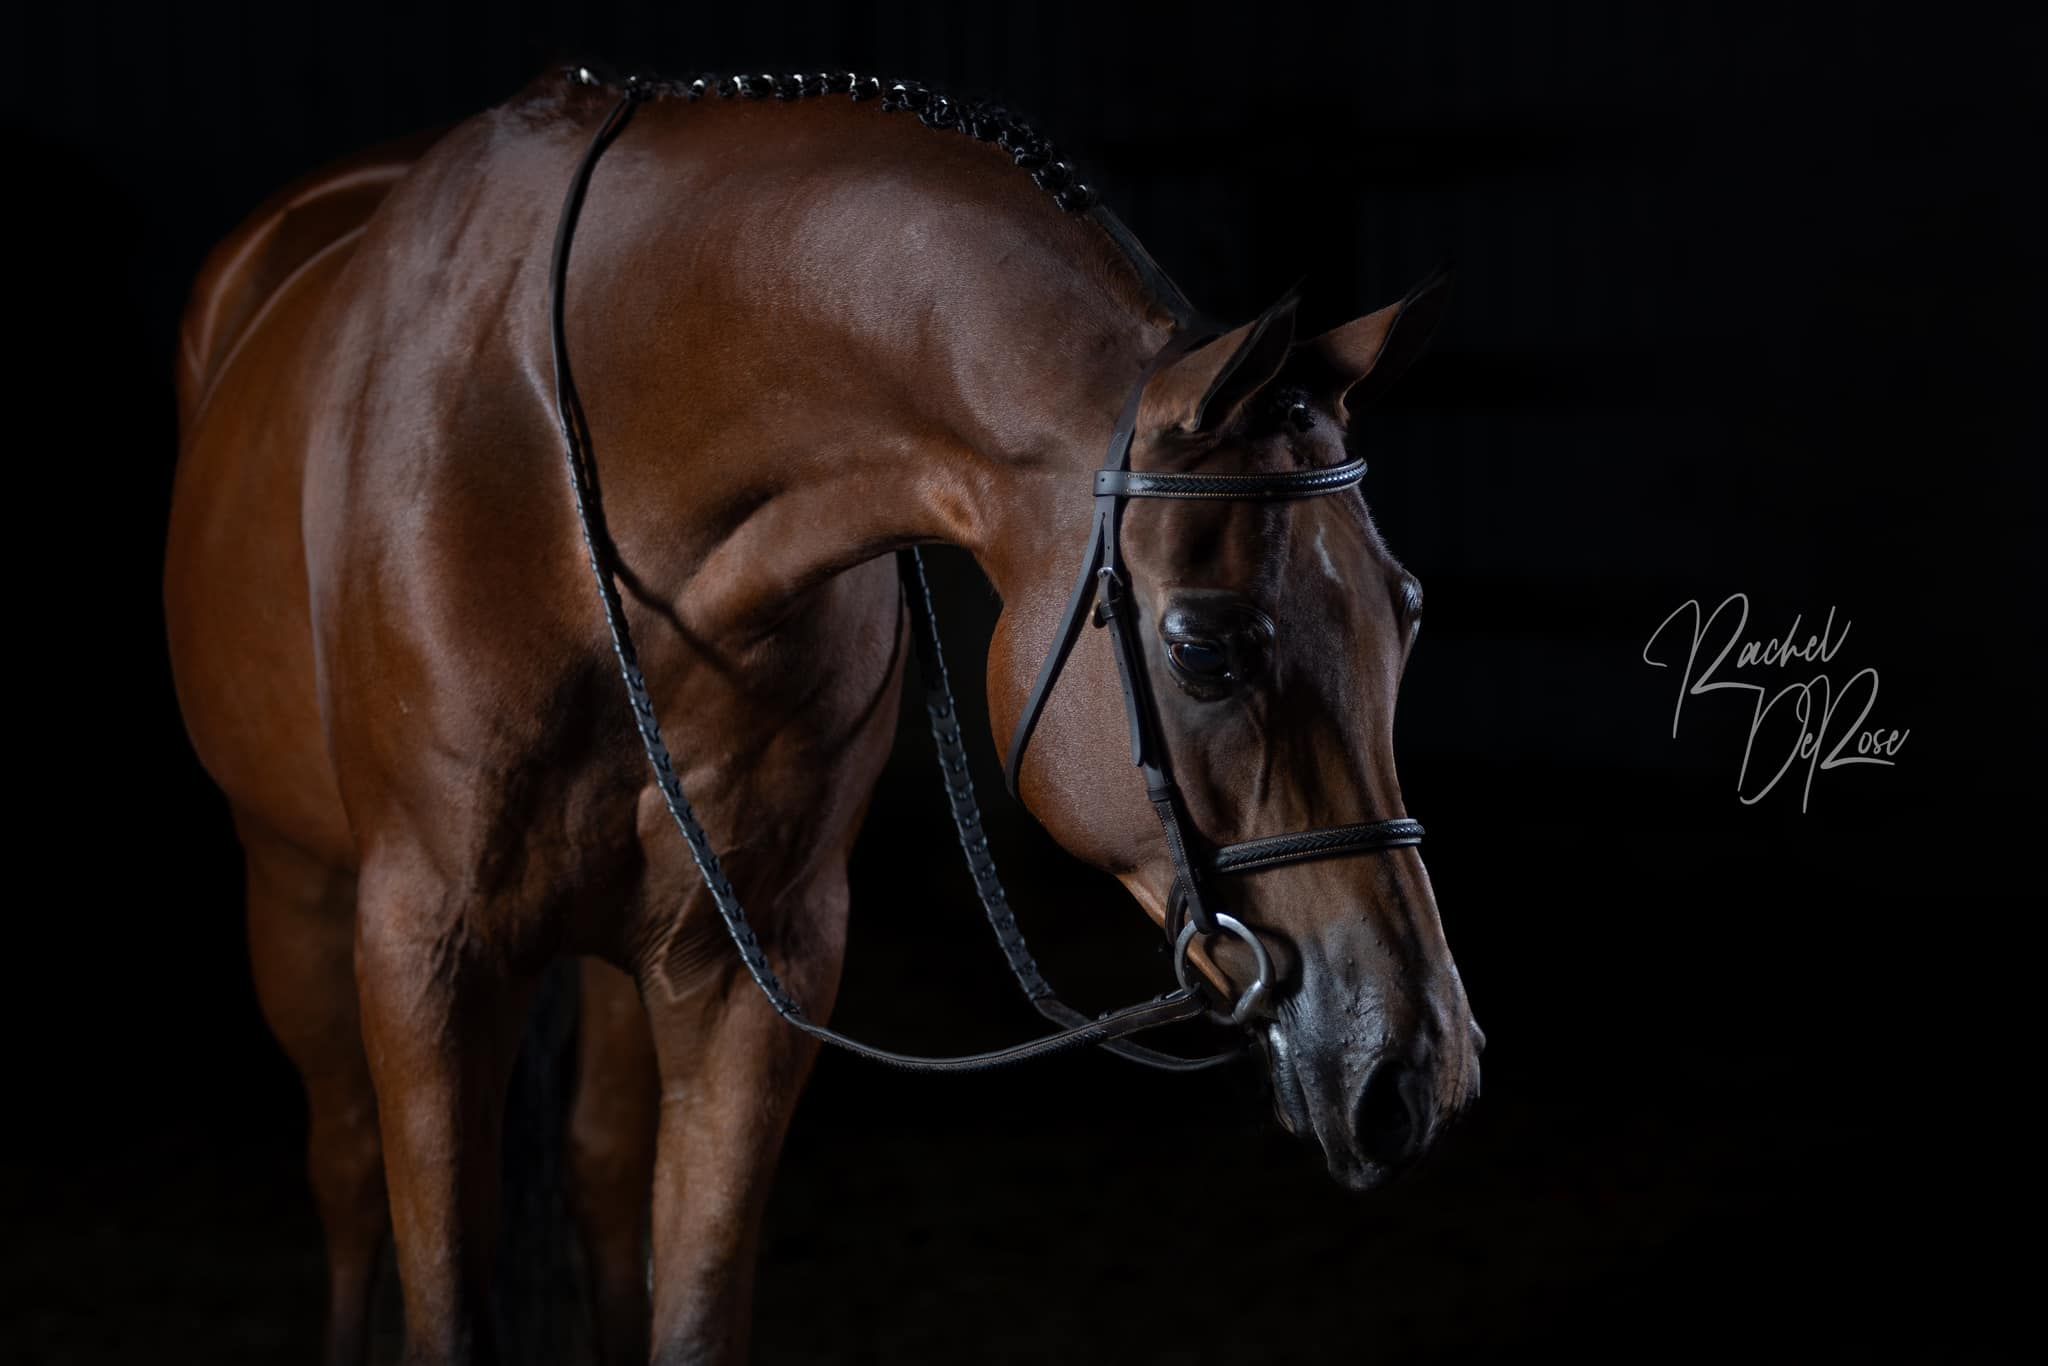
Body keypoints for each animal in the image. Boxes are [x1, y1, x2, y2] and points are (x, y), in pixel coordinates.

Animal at [164, 66, 1482, 1365]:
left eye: (1407, 613)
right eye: (1203, 648)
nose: (1419, 1067)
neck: (588, 475)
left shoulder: (753, 964)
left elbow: (691, 1302)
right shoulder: (426, 954)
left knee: (599, 1174)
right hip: (296, 892)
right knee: (346, 1174)